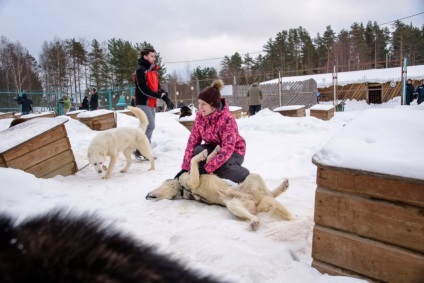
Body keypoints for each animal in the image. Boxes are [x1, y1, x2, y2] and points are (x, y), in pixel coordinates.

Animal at [147, 148, 292, 232]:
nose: (147, 195)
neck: (180, 188)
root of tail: (258, 199)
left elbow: (208, 160)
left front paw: (213, 151)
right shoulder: (193, 182)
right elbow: (194, 160)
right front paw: (201, 155)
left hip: (253, 178)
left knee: (270, 194)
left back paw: (283, 186)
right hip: (233, 204)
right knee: (256, 213)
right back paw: (254, 222)